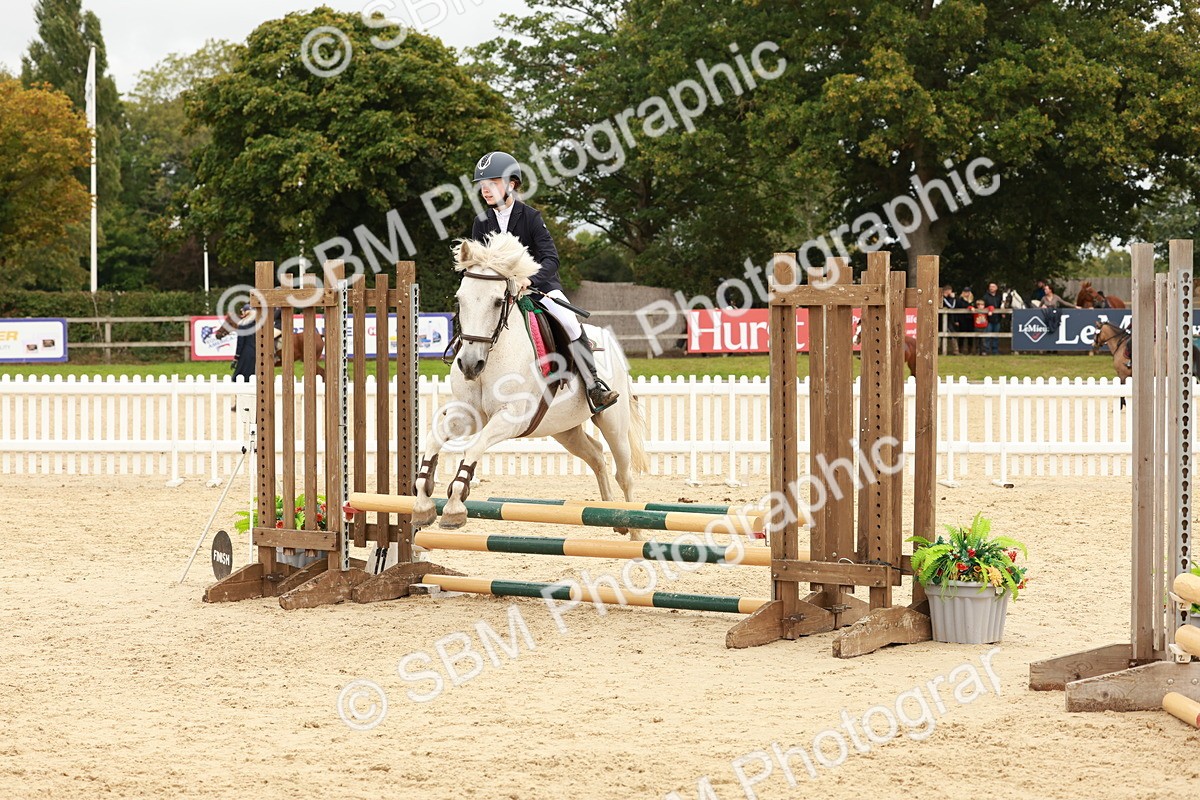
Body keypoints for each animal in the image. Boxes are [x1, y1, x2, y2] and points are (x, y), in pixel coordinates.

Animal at [411, 232, 649, 534]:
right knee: (595, 455)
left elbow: (474, 447)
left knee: (624, 474)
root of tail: (612, 345)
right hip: (563, 428)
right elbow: (434, 439)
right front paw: (422, 504)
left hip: (613, 422)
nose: (470, 365)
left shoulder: (511, 418)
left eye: (497, 302)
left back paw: (633, 530)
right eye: (459, 300)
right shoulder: (468, 414)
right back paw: (611, 517)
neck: (493, 354)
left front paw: (454, 506)